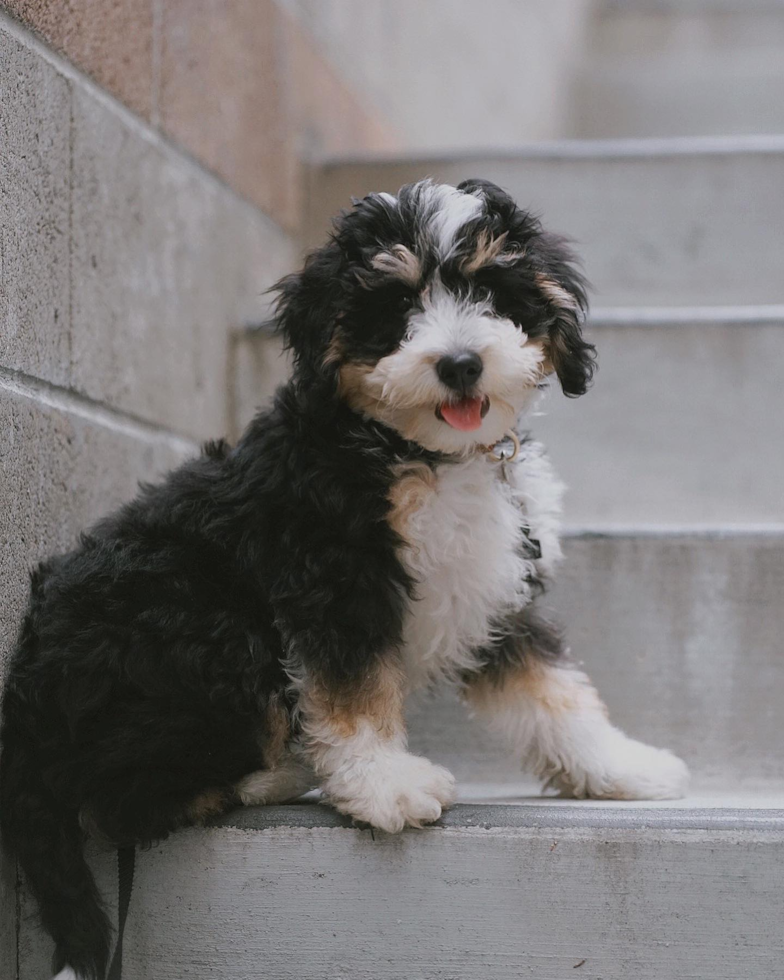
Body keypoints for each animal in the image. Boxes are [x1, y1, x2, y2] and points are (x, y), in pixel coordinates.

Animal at [0, 178, 688, 980]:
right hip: (202, 622)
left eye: (489, 289)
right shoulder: (335, 578)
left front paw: (623, 767)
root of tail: (23, 713)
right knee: (116, 806)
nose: (461, 363)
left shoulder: (500, 590)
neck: (421, 453)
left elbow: (552, 692)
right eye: (394, 306)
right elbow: (353, 691)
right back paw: (278, 773)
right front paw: (384, 783)